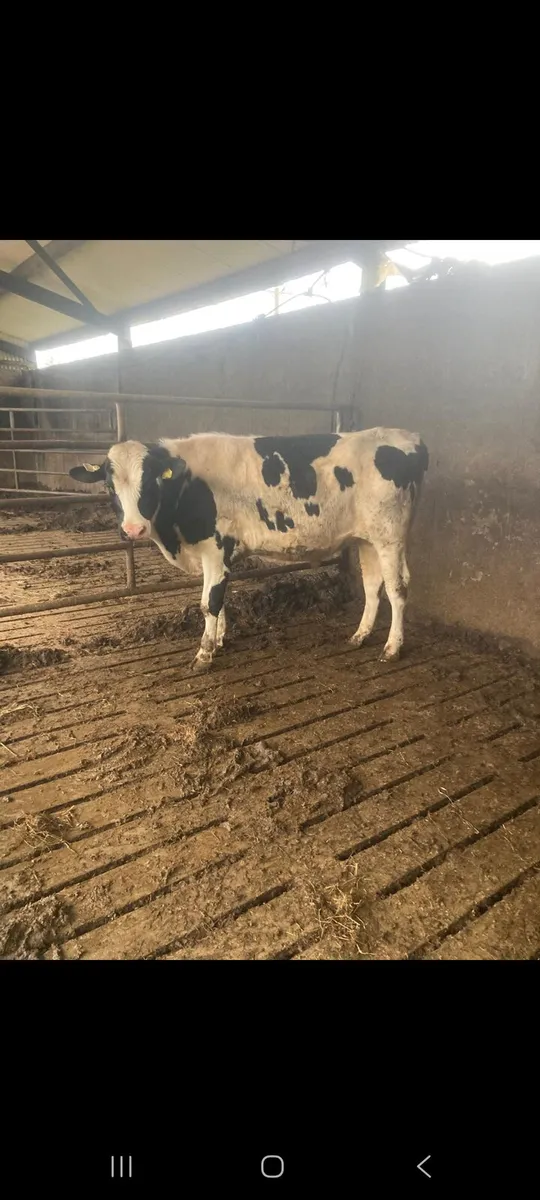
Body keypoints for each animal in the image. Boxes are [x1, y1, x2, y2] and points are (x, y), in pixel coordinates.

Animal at [69, 429, 428, 672]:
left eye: (151, 483)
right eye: (108, 486)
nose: (133, 529)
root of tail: (407, 437)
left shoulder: (215, 549)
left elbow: (209, 603)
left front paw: (204, 654)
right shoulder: (214, 556)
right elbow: (218, 600)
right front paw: (219, 640)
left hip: (390, 537)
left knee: (397, 589)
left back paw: (392, 648)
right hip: (367, 539)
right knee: (373, 586)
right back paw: (360, 635)